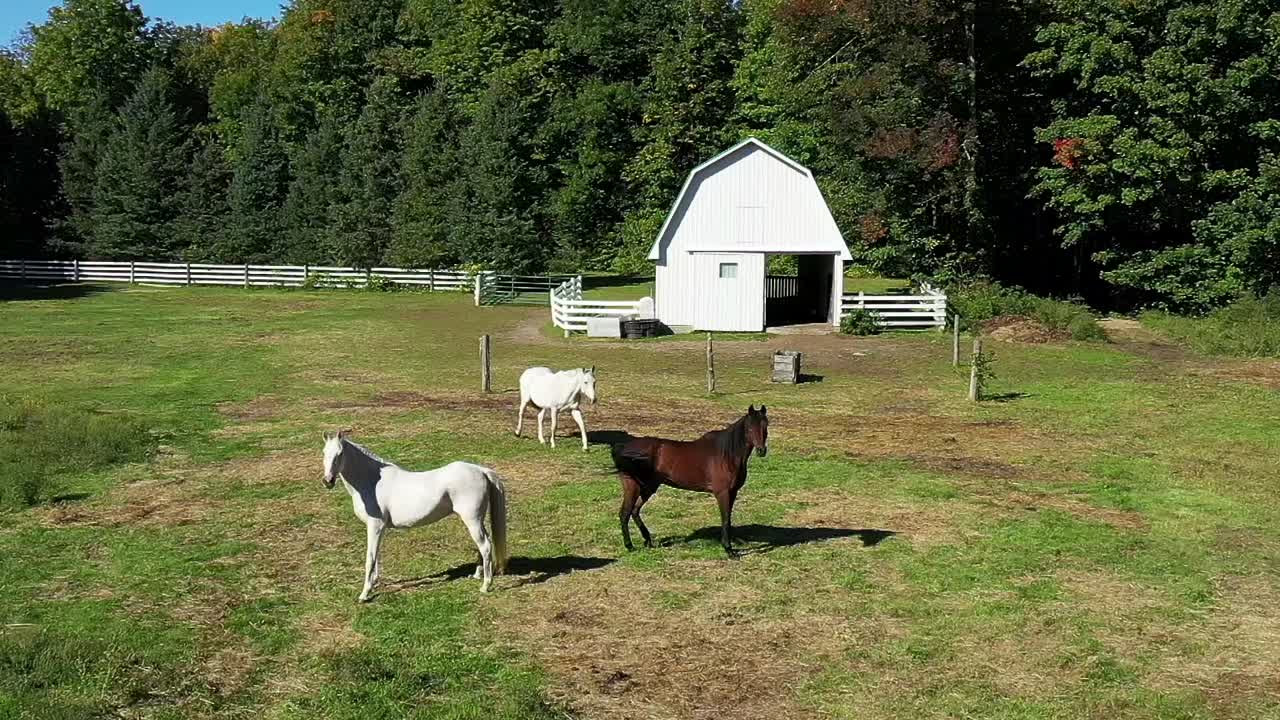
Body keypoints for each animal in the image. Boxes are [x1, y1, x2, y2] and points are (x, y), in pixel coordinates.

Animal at [320, 430, 508, 601]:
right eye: (324, 452)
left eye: (340, 454)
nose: (327, 481)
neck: (371, 481)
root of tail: (480, 470)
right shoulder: (380, 528)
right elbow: (377, 555)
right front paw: (374, 583)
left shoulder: (375, 526)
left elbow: (370, 557)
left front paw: (365, 594)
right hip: (476, 521)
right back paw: (477, 575)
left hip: (473, 521)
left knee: (485, 546)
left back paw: (485, 585)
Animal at [609, 405, 769, 557]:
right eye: (749, 428)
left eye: (765, 426)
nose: (761, 451)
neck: (726, 455)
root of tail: (624, 448)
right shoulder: (722, 493)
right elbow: (725, 519)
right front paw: (729, 549)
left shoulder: (733, 492)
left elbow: (728, 518)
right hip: (633, 487)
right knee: (625, 513)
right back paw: (629, 546)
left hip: (649, 487)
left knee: (635, 511)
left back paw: (648, 540)